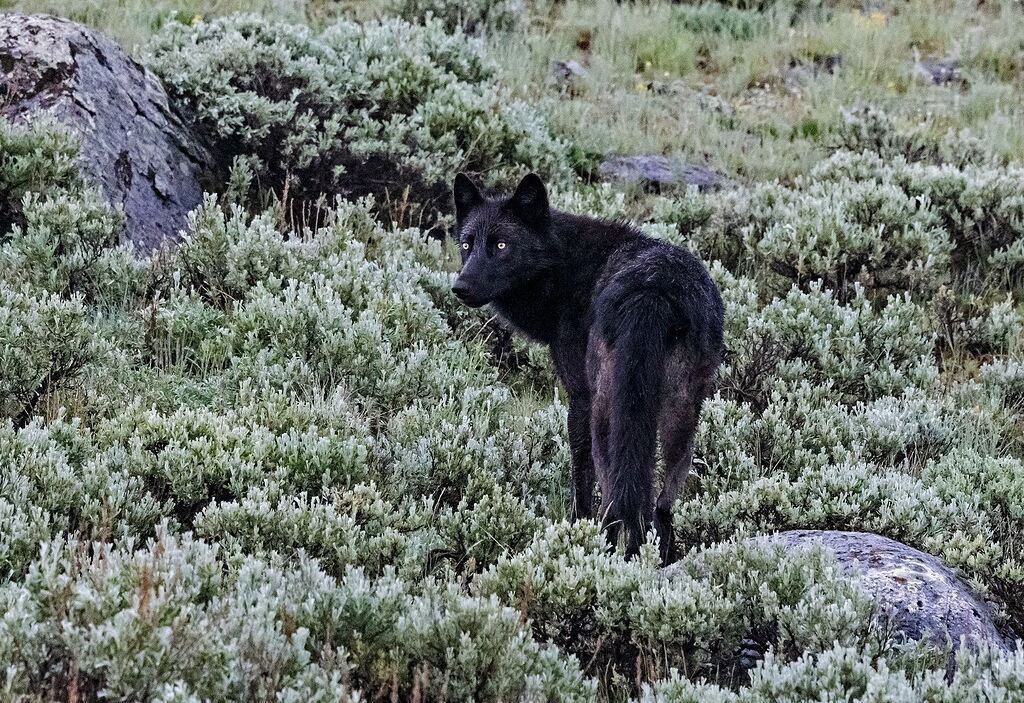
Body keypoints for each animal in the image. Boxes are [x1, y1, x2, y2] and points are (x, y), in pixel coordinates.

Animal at [451, 172, 724, 563]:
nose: (460, 286)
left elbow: (580, 479)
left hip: (605, 413)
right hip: (681, 413)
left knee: (614, 500)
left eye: (501, 245)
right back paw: (658, 559)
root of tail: (653, 291)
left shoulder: (579, 397)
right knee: (659, 503)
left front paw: (575, 528)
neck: (565, 268)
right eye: (466, 244)